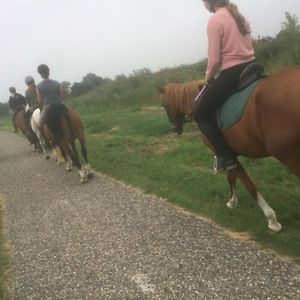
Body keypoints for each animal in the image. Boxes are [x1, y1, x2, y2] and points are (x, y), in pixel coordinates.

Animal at [158, 66, 300, 232]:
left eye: (164, 105)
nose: (174, 129)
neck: (196, 101)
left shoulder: (226, 153)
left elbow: (248, 185)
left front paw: (271, 219)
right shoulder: (229, 153)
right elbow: (231, 177)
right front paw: (232, 201)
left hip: (289, 156)